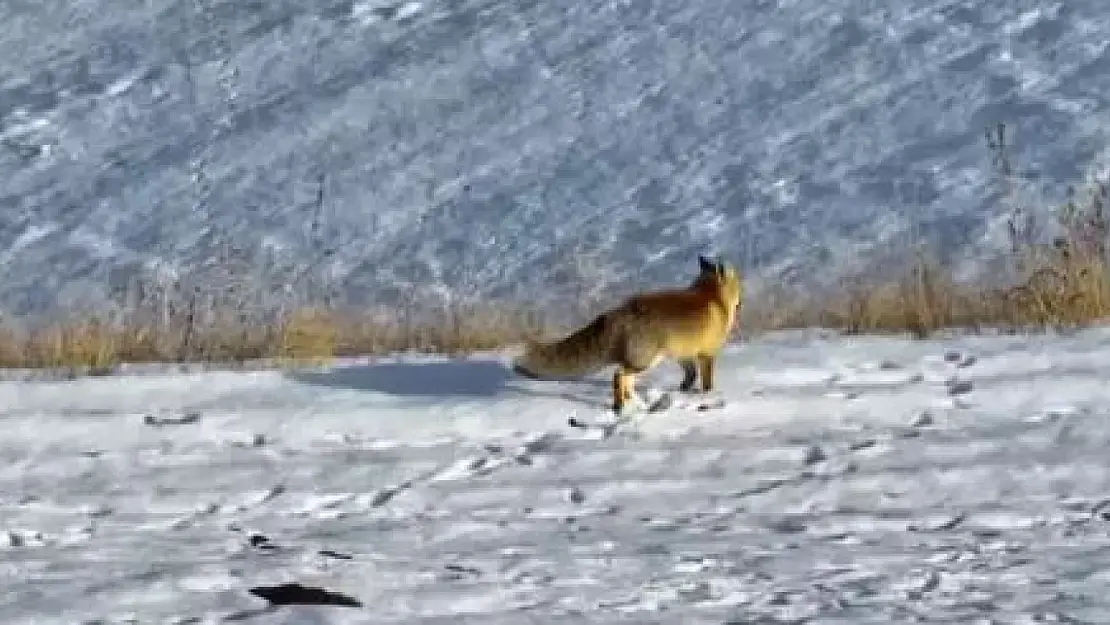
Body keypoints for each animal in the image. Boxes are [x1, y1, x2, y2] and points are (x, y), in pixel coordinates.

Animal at [512, 254, 741, 410]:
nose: (741, 302)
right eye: (740, 283)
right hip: (645, 361)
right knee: (618, 376)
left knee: (625, 380)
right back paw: (620, 405)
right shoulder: (706, 353)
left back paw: (632, 403)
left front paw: (683, 392)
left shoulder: (682, 353)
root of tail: (621, 310)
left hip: (643, 359)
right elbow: (706, 380)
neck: (712, 298)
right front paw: (707, 395)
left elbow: (690, 375)